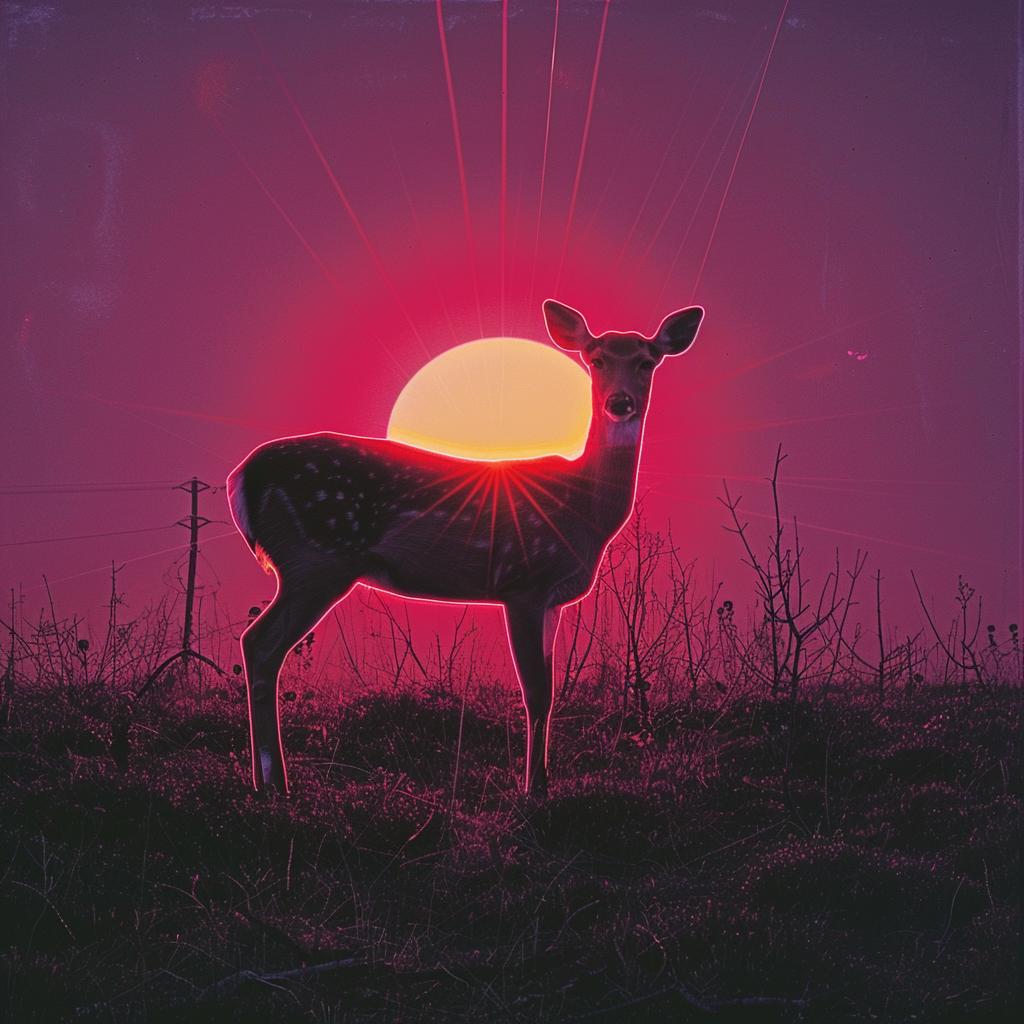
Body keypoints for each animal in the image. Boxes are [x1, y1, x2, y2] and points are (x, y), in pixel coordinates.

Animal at [227, 299, 704, 796]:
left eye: (647, 360)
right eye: (596, 358)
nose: (620, 402)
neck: (584, 511)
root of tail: (243, 476)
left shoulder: (554, 600)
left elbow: (550, 693)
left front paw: (544, 781)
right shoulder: (523, 581)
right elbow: (535, 692)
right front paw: (533, 789)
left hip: (310, 565)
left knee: (259, 647)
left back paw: (266, 782)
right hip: (316, 558)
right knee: (260, 643)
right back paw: (275, 784)